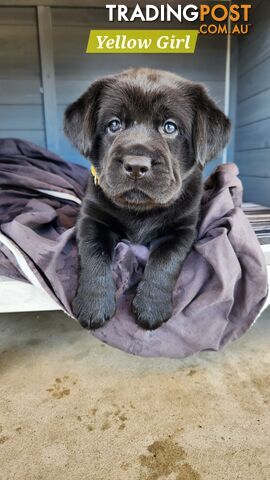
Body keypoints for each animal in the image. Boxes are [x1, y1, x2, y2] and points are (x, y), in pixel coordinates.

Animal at [64, 67, 231, 330]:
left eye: (170, 127)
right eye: (114, 125)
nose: (136, 165)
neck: (141, 209)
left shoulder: (182, 229)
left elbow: (165, 260)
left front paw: (151, 308)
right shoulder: (91, 219)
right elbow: (93, 255)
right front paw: (94, 304)